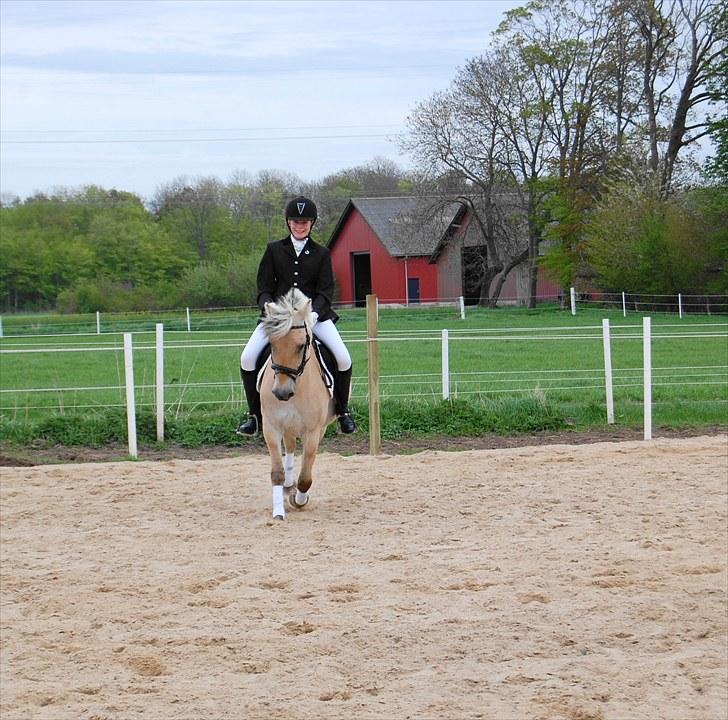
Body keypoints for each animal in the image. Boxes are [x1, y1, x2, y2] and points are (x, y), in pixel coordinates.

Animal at [258, 286, 338, 516]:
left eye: (302, 345)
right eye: (272, 344)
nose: (281, 393)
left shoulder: (312, 431)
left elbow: (305, 478)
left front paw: (299, 499)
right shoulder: (271, 427)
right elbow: (277, 472)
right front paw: (278, 513)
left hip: (319, 428)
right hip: (288, 427)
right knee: (291, 448)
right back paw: (287, 486)